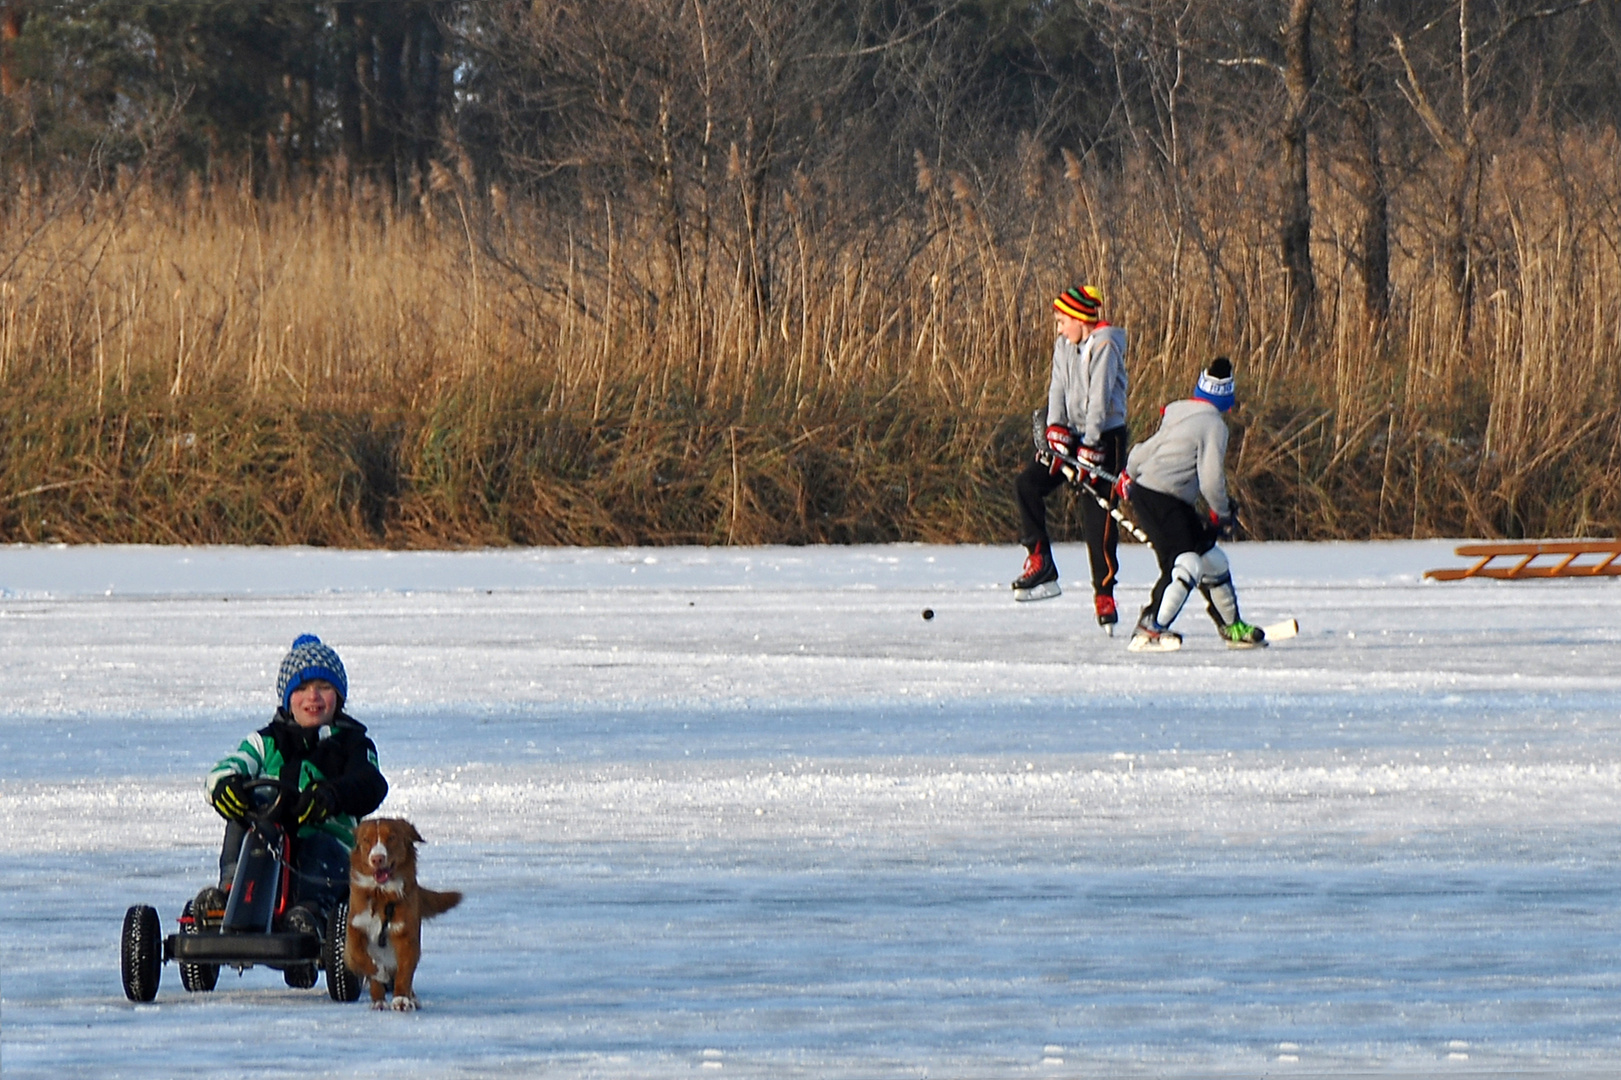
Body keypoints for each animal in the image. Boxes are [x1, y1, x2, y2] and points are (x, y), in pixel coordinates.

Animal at [346, 817, 463, 1011]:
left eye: (392, 837)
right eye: (366, 839)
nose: (377, 858)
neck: (382, 895)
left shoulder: (406, 935)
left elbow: (404, 973)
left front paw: (401, 999)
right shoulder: (356, 928)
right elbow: (360, 957)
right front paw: (379, 975)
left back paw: (411, 998)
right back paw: (378, 1001)